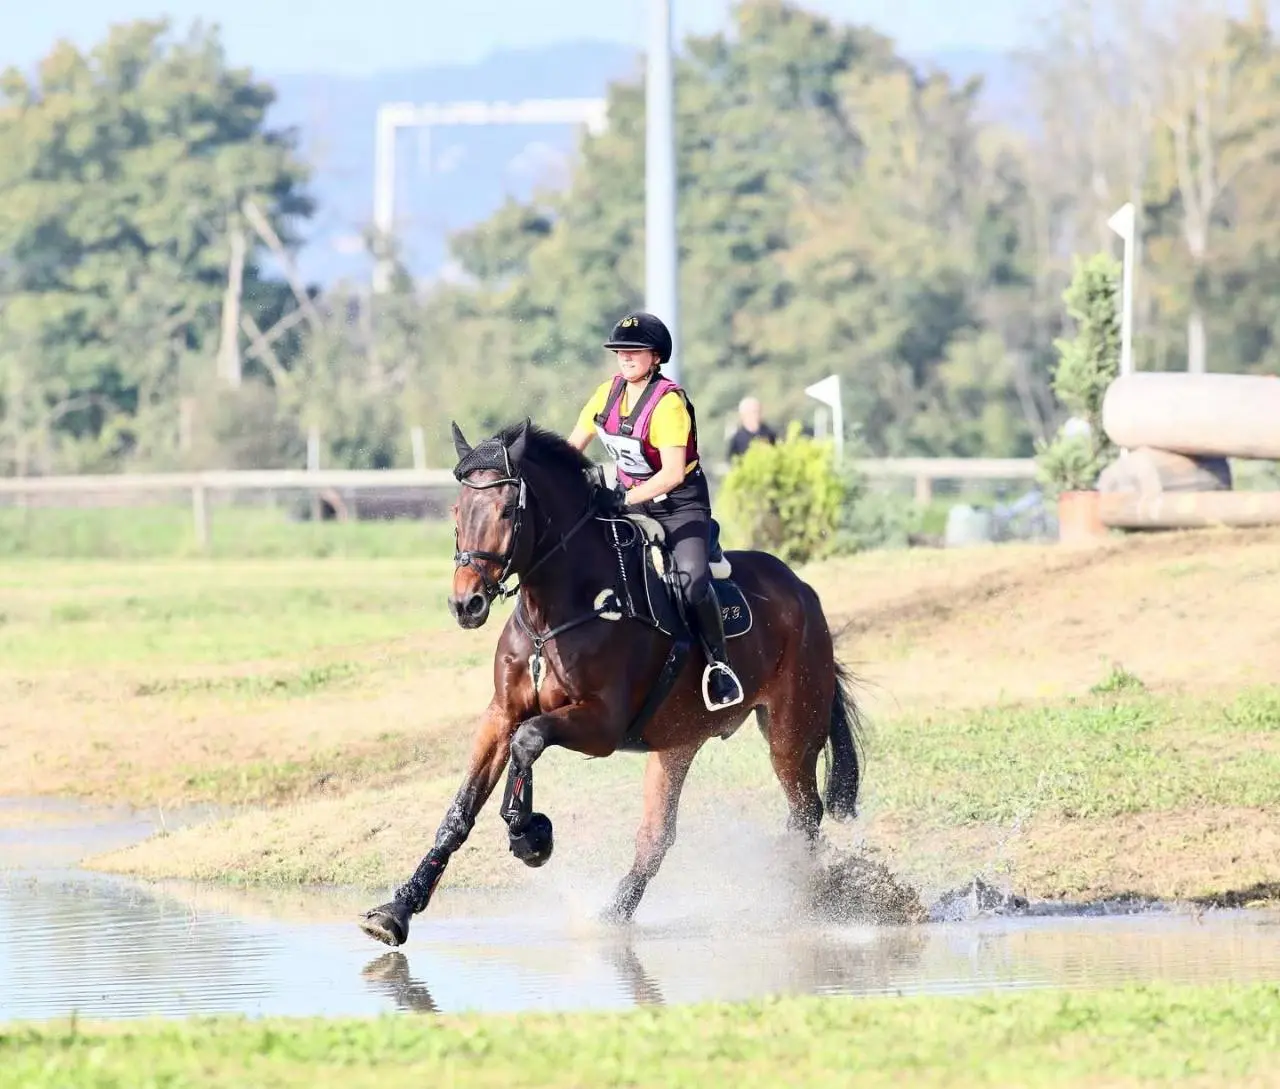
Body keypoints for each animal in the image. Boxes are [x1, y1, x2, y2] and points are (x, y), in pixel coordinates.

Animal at [358, 417, 865, 947]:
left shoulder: (601, 725)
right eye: (458, 510)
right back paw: (613, 915)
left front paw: (529, 835)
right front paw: (397, 910)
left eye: (506, 510)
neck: (557, 611)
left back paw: (805, 905)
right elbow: (461, 810)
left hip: (790, 733)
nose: (466, 604)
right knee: (657, 837)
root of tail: (804, 592)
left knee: (805, 813)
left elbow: (529, 738)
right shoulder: (500, 714)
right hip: (677, 743)